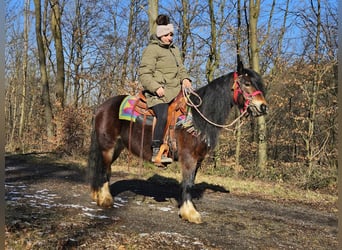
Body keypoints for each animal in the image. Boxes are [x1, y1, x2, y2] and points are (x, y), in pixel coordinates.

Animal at [87, 63, 268, 224]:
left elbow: (191, 182)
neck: (197, 118)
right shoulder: (188, 157)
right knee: (104, 170)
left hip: (116, 147)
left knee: (106, 170)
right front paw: (190, 213)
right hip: (108, 146)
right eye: (247, 83)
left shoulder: (198, 159)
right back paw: (106, 200)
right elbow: (187, 184)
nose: (263, 107)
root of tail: (101, 107)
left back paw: (99, 195)